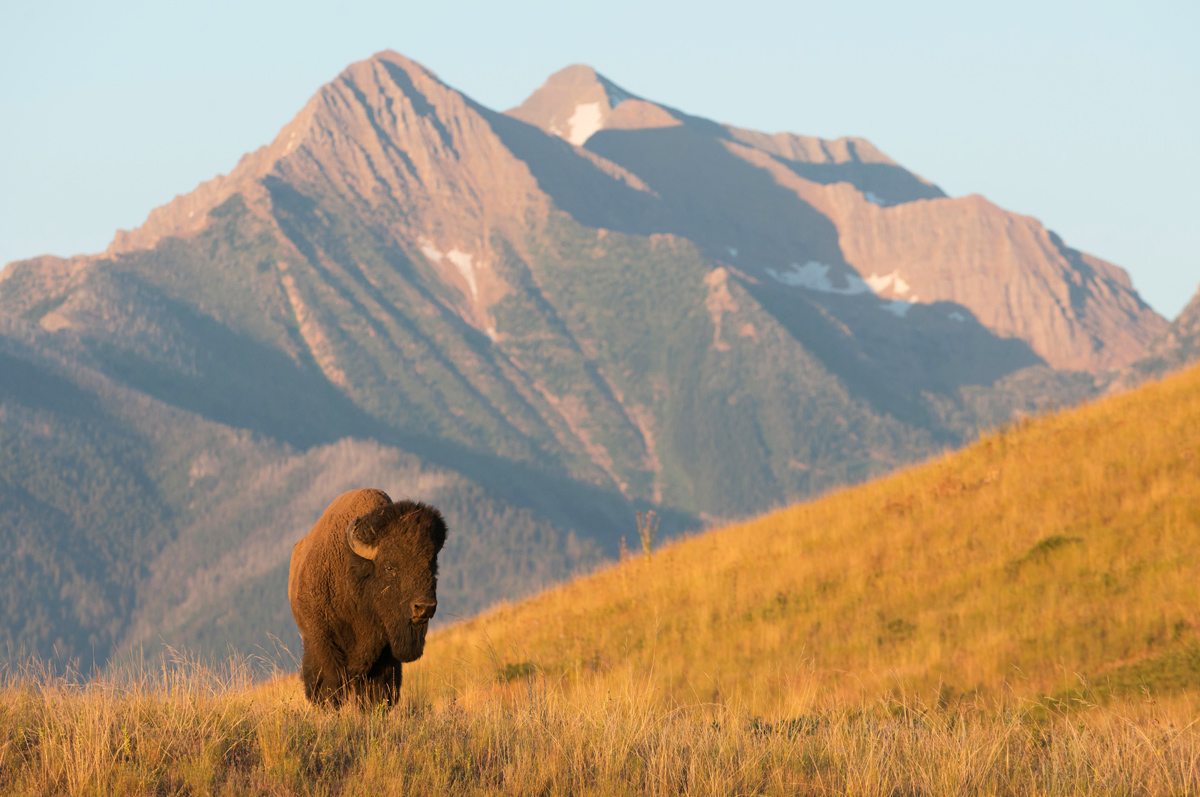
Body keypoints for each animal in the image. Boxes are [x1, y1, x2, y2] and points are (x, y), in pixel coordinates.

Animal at [288, 488, 447, 707]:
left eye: (432, 564)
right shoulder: (323, 642)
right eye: (389, 567)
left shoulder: (384, 655)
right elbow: (330, 686)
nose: (424, 607)